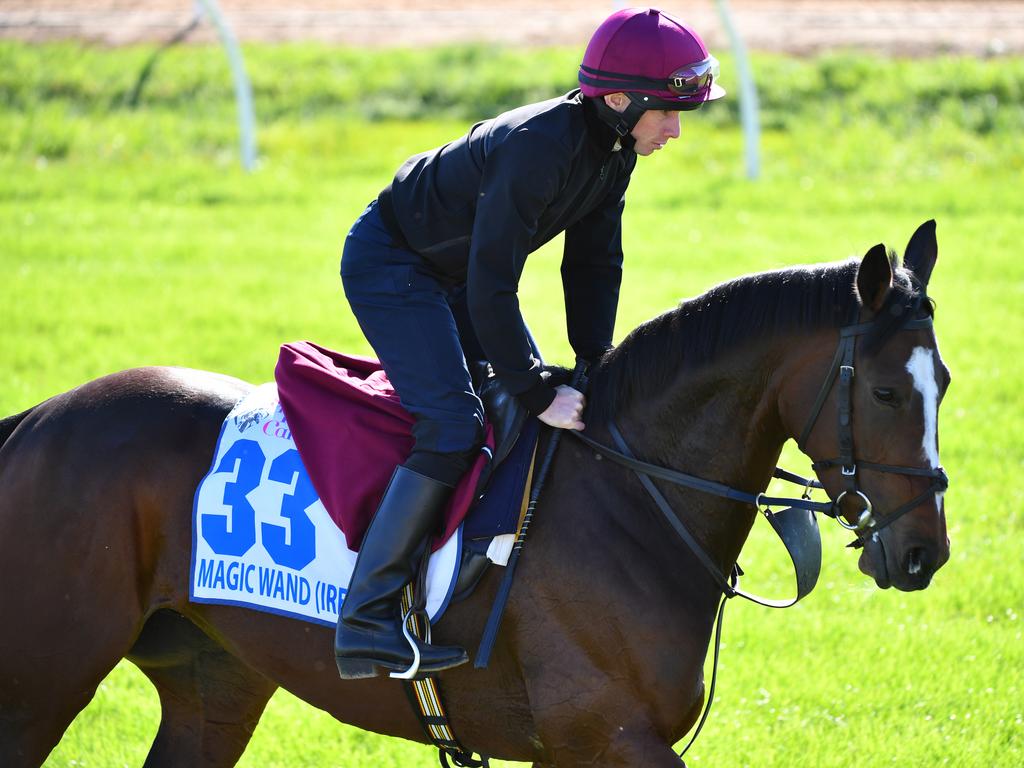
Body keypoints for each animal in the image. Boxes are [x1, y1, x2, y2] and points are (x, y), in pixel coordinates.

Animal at [0, 219, 950, 765]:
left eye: (943, 380)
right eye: (886, 393)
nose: (923, 553)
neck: (633, 496)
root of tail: (40, 418)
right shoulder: (608, 736)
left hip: (212, 684)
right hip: (43, 678)